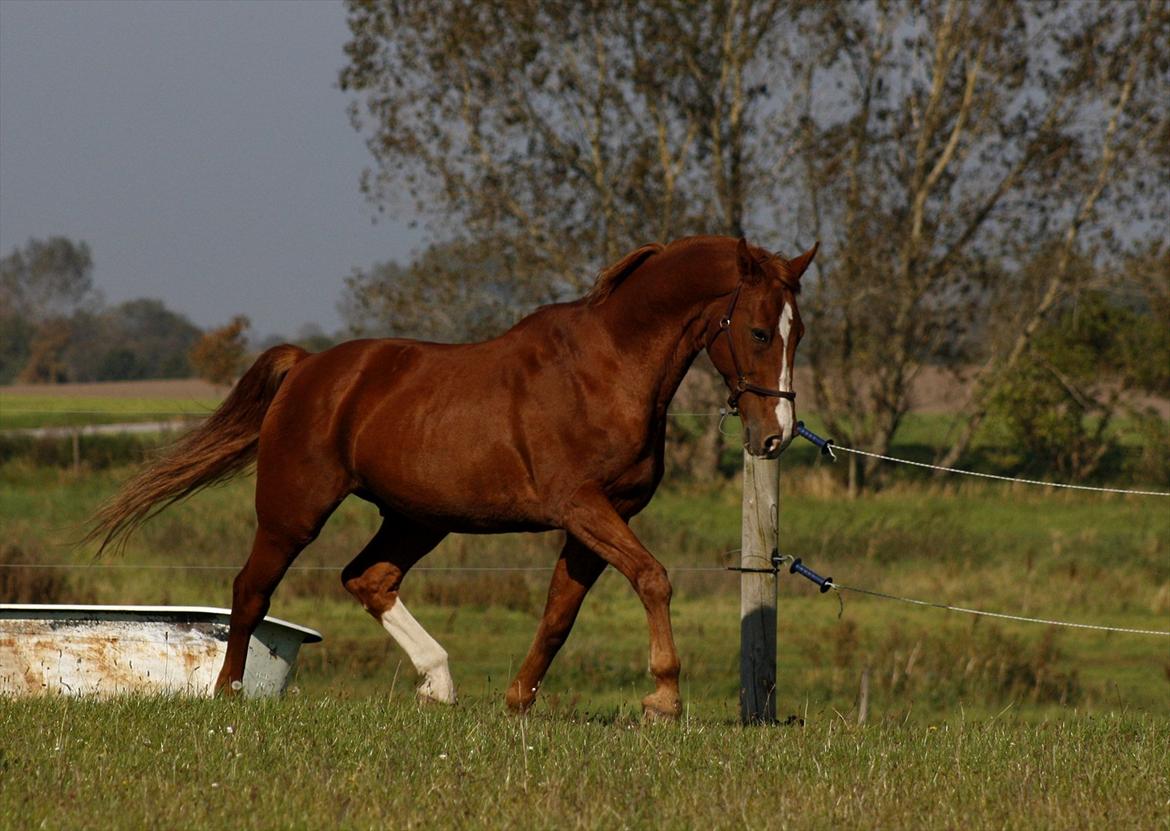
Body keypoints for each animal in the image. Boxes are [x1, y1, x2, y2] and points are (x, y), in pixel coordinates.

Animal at [91, 236, 814, 720]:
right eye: (757, 330)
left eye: (797, 330)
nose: (774, 435)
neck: (608, 369)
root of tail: (308, 368)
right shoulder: (582, 506)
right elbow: (653, 577)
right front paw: (663, 696)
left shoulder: (601, 518)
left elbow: (560, 612)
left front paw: (519, 700)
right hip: (294, 510)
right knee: (252, 590)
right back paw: (229, 691)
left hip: (417, 517)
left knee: (368, 578)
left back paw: (437, 684)